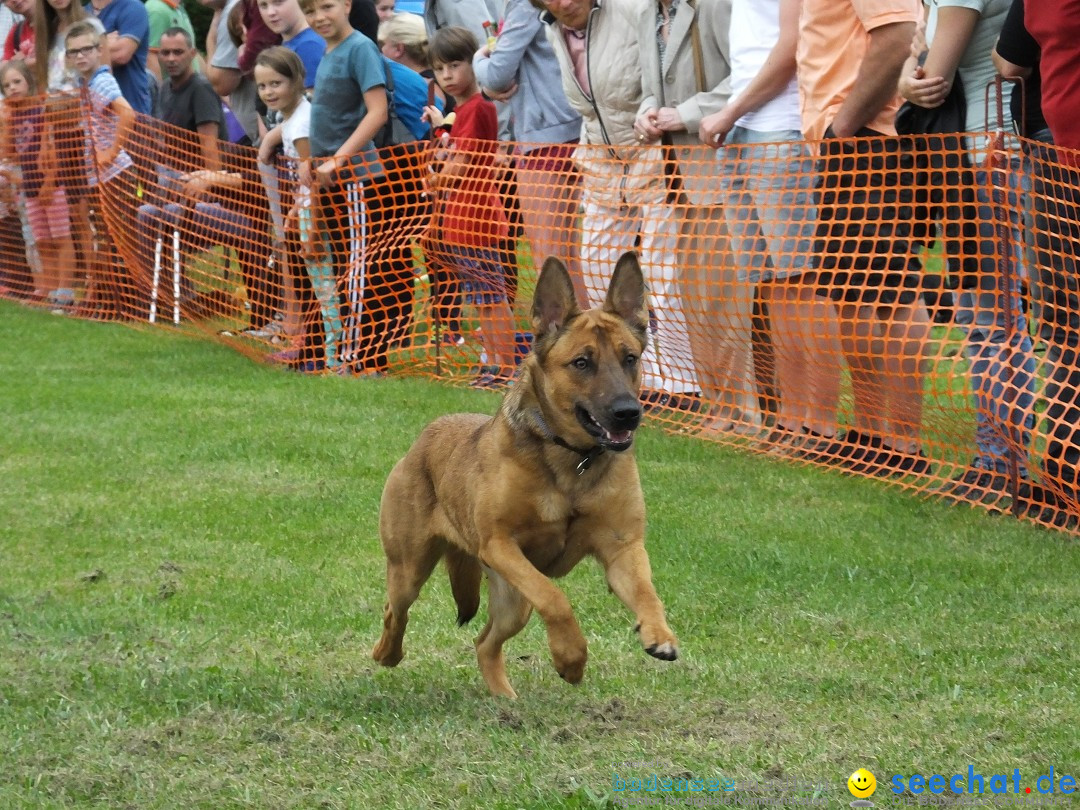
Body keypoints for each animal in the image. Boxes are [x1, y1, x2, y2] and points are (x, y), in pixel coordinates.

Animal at [371, 252, 673, 699]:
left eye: (630, 359)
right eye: (582, 363)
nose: (628, 413)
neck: (571, 460)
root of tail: (425, 436)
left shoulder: (623, 549)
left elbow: (649, 594)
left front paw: (659, 635)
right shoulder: (501, 545)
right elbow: (556, 597)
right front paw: (571, 658)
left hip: (514, 602)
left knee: (483, 642)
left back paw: (503, 697)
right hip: (411, 568)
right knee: (396, 611)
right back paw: (386, 654)